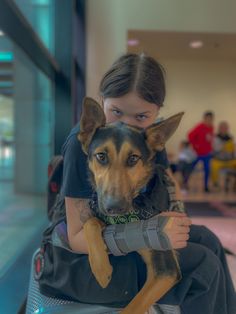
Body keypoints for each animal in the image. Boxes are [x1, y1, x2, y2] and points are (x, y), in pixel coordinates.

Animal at [79, 97, 184, 314]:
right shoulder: (102, 215)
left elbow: (132, 307)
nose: (114, 207)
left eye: (133, 158)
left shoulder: (166, 271)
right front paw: (101, 268)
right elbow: (90, 223)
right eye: (101, 156)